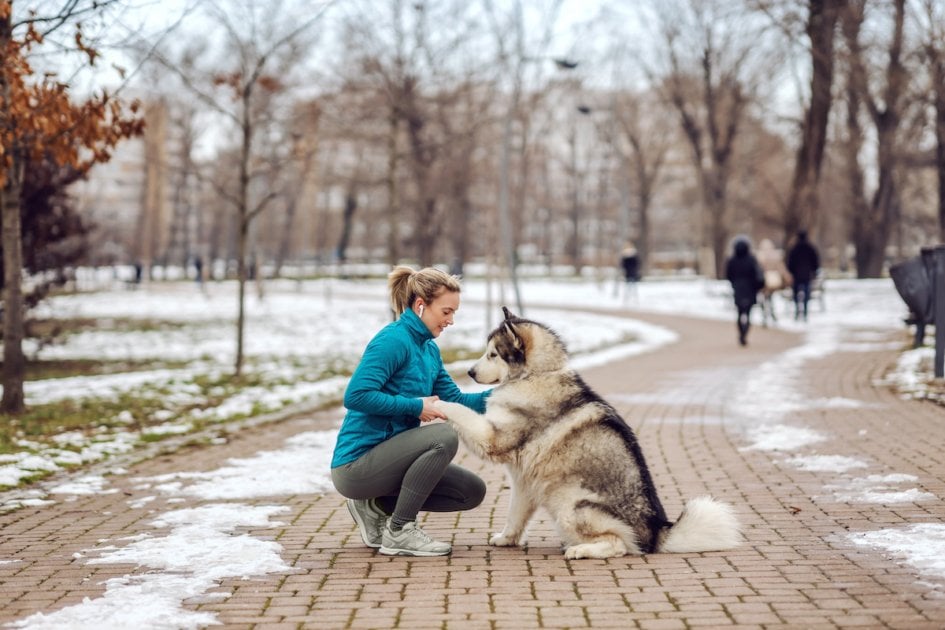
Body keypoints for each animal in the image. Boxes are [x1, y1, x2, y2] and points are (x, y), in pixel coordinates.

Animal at [434, 308, 736, 560]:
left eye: (493, 354)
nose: (469, 372)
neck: (536, 375)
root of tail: (656, 531)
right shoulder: (524, 483)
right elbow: (515, 515)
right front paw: (507, 539)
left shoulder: (493, 439)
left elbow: (460, 410)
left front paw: (435, 403)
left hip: (571, 506)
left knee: (620, 545)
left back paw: (580, 550)